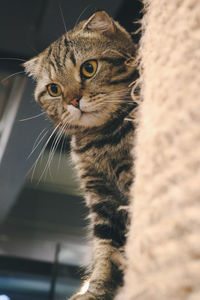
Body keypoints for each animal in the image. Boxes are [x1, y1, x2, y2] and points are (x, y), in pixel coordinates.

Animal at [23, 9, 138, 300]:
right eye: (54, 89)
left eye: (89, 68)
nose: (74, 101)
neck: (100, 141)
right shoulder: (101, 200)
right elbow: (105, 250)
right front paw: (95, 290)